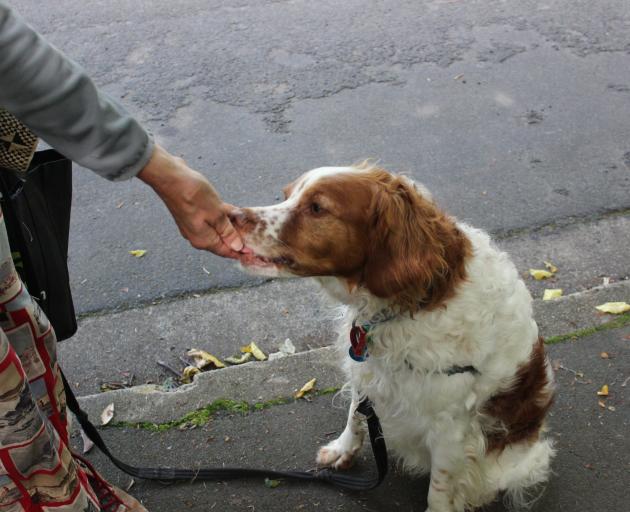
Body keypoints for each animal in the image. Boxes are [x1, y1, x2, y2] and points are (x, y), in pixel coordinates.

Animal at [231, 165, 552, 512]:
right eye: (286, 195)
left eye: (317, 208)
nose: (232, 215)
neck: (415, 301)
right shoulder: (368, 371)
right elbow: (356, 414)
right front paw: (343, 449)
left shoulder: (450, 427)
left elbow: (440, 489)